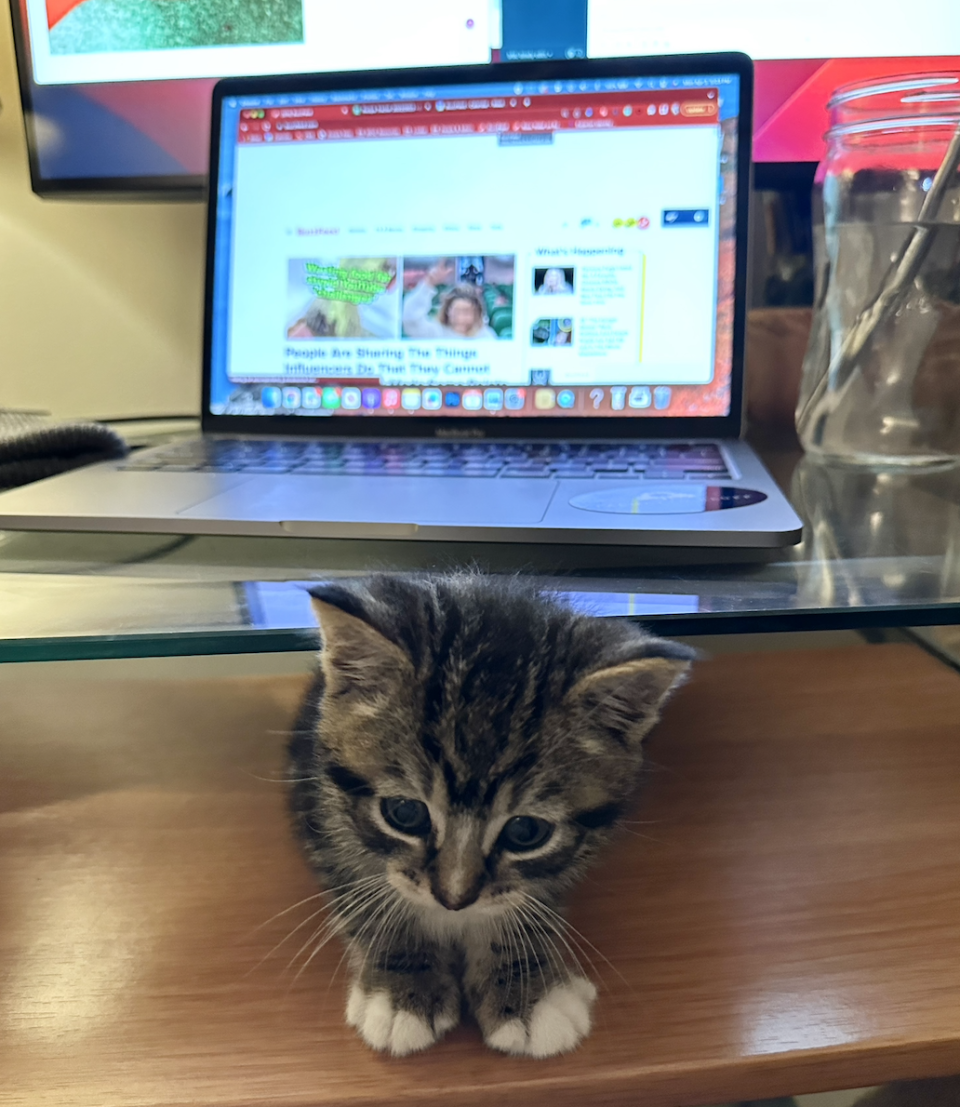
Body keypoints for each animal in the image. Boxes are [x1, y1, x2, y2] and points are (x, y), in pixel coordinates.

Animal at [290, 575, 695, 1058]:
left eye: (526, 831)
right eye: (405, 813)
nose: (454, 900)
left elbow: (530, 901)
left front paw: (529, 991)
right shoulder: (320, 807)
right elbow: (363, 891)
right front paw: (401, 988)